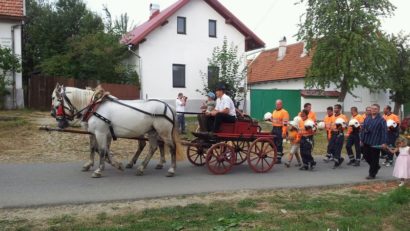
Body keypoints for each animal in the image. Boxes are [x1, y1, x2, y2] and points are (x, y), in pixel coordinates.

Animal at [50, 84, 181, 178]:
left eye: (55, 99)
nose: (54, 116)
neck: (94, 107)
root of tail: (168, 106)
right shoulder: (95, 133)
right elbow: (94, 148)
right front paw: (96, 164)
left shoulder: (101, 133)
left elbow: (102, 150)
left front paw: (99, 170)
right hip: (152, 132)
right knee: (153, 147)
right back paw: (141, 168)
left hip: (163, 132)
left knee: (171, 147)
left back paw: (171, 170)